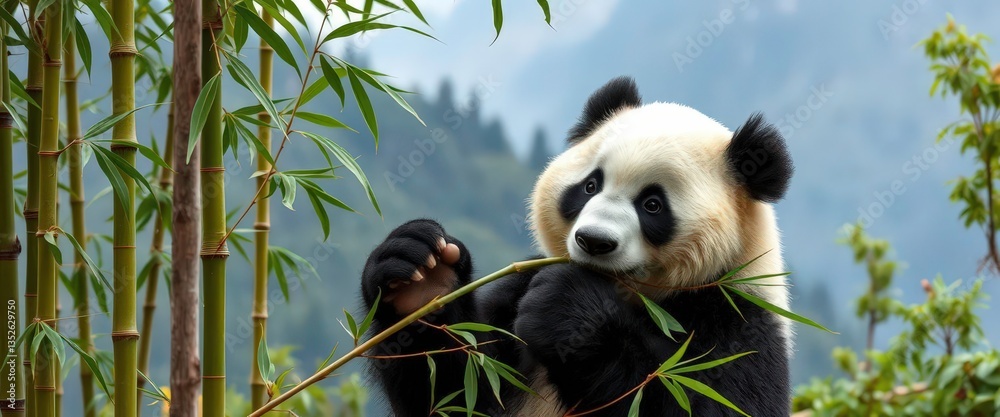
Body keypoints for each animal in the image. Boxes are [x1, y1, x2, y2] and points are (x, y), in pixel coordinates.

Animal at [360, 76, 793, 417]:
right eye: (590, 185)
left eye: (652, 205)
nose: (594, 241)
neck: (628, 294)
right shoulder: (516, 292)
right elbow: (460, 391)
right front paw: (424, 279)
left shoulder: (735, 320)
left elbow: (697, 400)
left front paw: (568, 310)